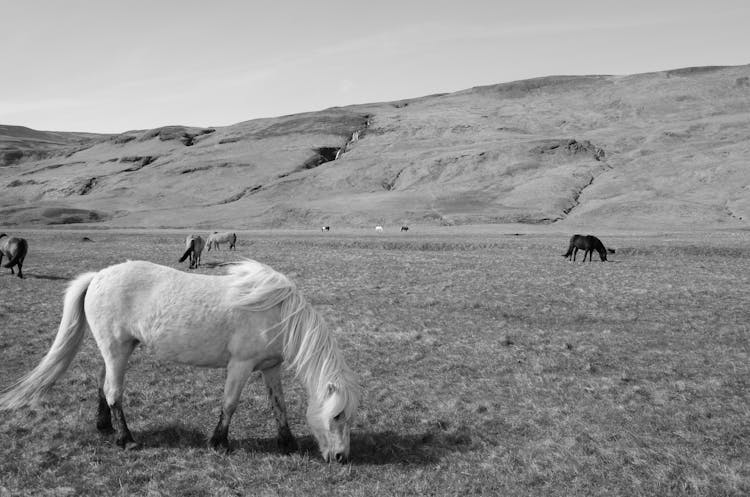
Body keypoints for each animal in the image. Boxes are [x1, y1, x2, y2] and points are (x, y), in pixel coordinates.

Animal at [0, 260, 362, 462]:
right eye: (337, 415)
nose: (341, 457)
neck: (278, 312)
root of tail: (97, 276)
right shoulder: (241, 365)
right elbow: (229, 404)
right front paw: (218, 443)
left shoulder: (270, 367)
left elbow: (279, 405)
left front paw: (287, 444)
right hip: (117, 350)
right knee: (114, 392)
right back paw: (126, 440)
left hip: (114, 350)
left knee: (103, 386)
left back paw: (105, 427)